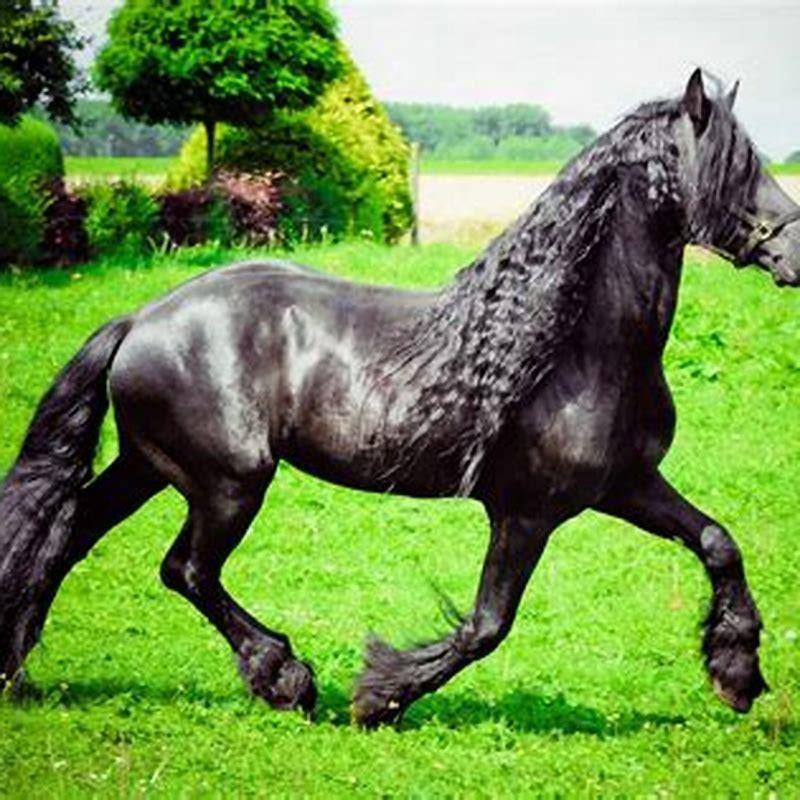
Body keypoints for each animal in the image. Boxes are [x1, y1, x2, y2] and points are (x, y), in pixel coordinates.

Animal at [1, 70, 798, 727]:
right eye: (739, 167)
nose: (794, 255)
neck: (574, 345)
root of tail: (141, 320)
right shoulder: (527, 512)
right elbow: (486, 626)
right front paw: (378, 697)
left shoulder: (627, 484)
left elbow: (717, 542)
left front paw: (736, 675)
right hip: (227, 483)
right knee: (186, 571)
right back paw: (287, 680)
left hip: (148, 466)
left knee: (66, 537)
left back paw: (15, 671)